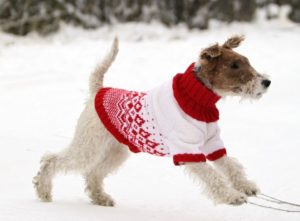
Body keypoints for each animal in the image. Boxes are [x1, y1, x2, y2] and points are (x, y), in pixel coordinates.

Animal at [33, 35, 272, 206]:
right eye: (234, 65)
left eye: (246, 62)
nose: (267, 82)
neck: (197, 100)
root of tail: (98, 91)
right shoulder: (188, 151)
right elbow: (213, 176)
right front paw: (232, 196)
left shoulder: (212, 144)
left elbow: (231, 166)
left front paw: (246, 186)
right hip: (88, 147)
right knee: (51, 160)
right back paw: (43, 191)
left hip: (116, 152)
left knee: (92, 173)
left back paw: (101, 199)